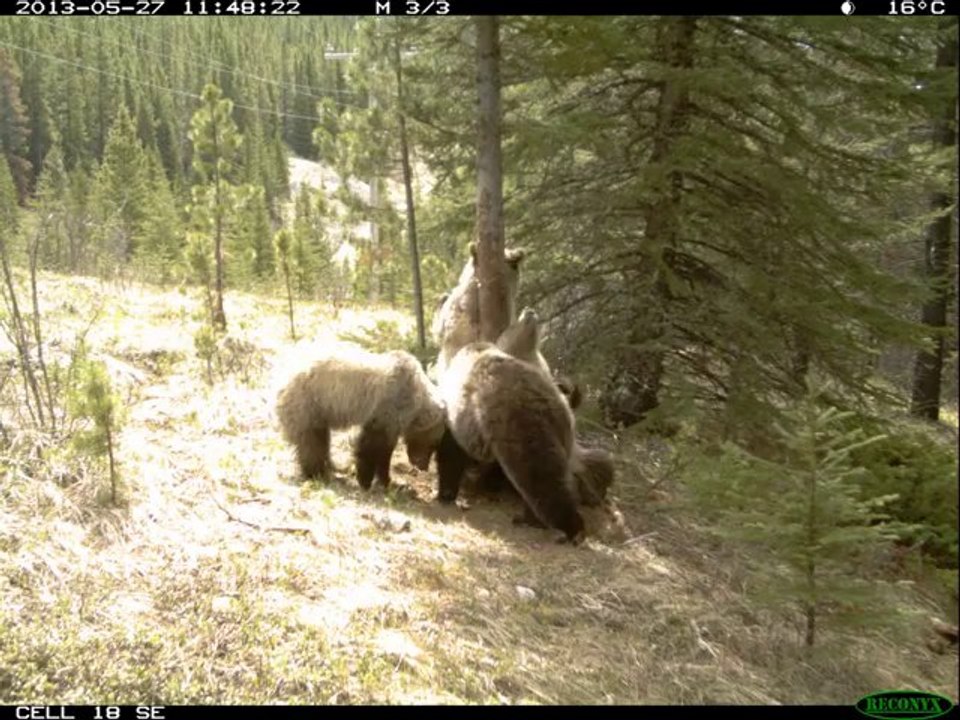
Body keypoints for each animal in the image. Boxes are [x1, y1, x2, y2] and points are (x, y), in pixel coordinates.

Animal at [275, 345, 446, 490]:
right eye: (434, 443)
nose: (423, 466)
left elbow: (381, 448)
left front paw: (384, 480)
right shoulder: (386, 406)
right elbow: (372, 445)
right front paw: (370, 480)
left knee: (320, 438)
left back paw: (330, 467)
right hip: (308, 401)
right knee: (310, 440)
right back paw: (317, 473)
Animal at [436, 310, 586, 543]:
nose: (529, 312)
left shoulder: (460, 416)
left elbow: (451, 452)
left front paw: (447, 492)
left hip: (518, 427)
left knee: (540, 479)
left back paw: (564, 526)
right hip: (562, 427)